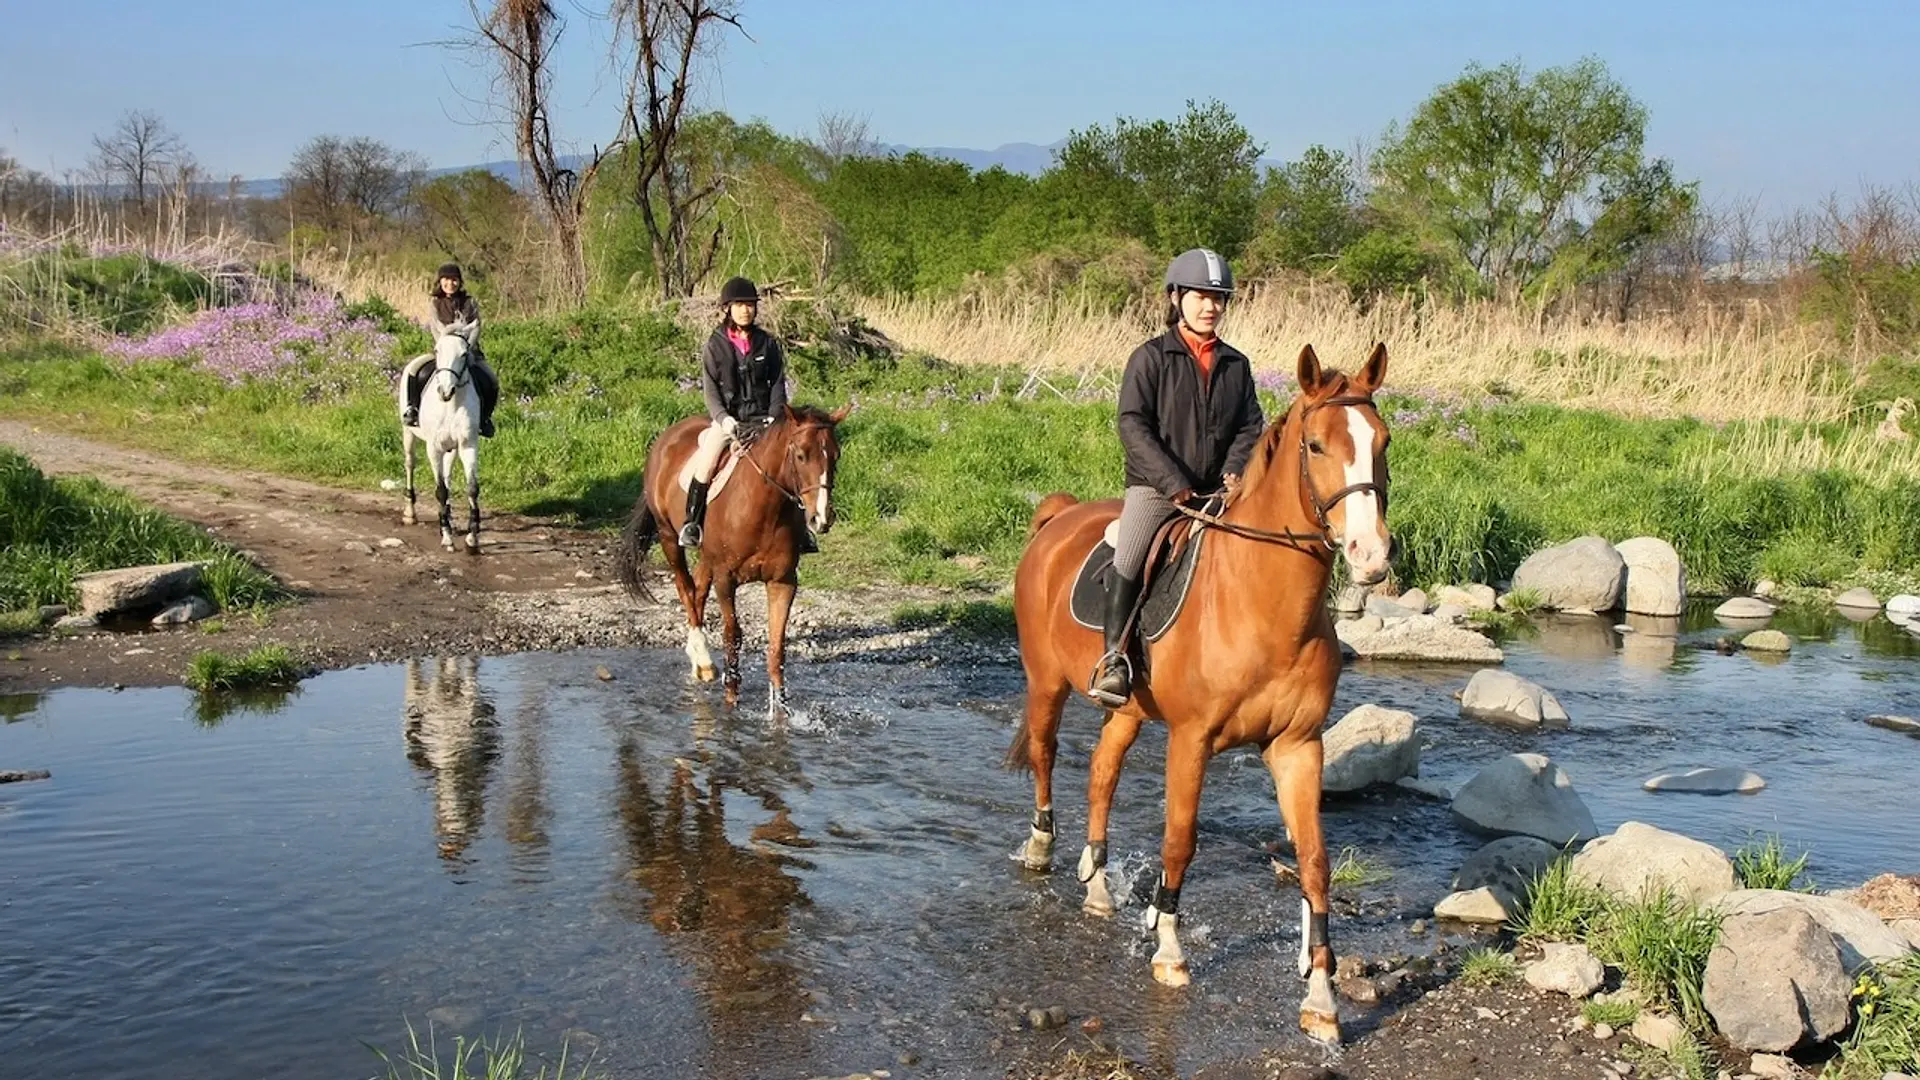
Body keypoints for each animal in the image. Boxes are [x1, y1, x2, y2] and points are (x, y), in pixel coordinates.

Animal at [400, 333, 483, 553]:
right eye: (437, 350)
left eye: (464, 354)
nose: (445, 391)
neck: (450, 404)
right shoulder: (433, 448)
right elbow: (441, 490)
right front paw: (446, 536)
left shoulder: (468, 445)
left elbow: (472, 488)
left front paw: (472, 537)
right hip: (408, 433)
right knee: (410, 464)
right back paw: (410, 512)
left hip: (451, 449)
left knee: (447, 474)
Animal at [614, 403, 851, 714]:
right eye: (801, 455)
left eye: (835, 456)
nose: (821, 518)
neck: (765, 510)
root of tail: (670, 434)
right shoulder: (726, 580)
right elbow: (732, 635)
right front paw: (731, 699)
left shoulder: (783, 582)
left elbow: (777, 645)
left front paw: (781, 709)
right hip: (668, 537)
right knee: (685, 588)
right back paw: (703, 661)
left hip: (706, 556)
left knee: (699, 588)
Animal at [1004, 343, 1392, 1047]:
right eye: (1316, 445)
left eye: (1382, 441)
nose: (1370, 554)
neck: (1262, 607)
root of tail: (1060, 516)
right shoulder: (1192, 741)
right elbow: (1179, 840)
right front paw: (1169, 950)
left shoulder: (1297, 747)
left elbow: (1315, 862)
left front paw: (1321, 999)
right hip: (1045, 683)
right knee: (1046, 755)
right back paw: (1043, 847)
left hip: (1128, 710)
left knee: (1102, 771)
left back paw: (1097, 885)